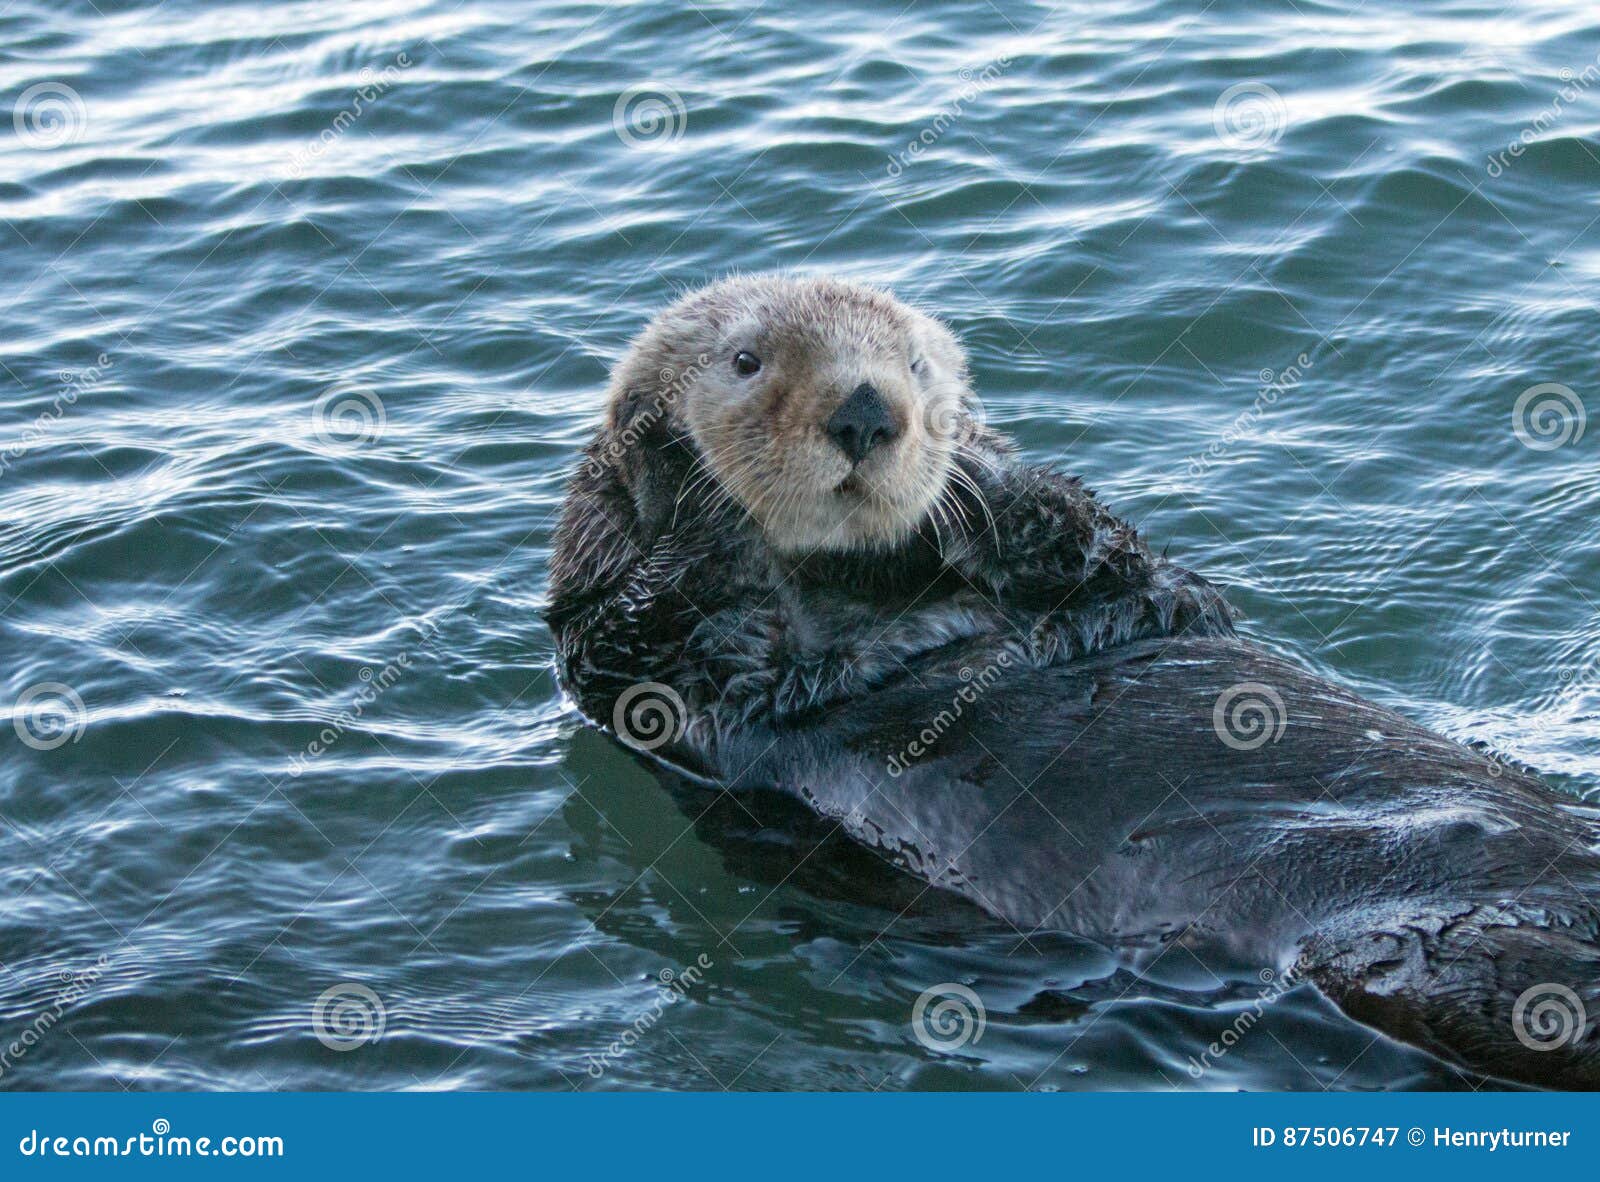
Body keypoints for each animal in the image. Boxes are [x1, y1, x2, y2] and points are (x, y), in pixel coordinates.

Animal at [550, 275, 1600, 1094]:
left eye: (916, 367)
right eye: (745, 362)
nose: (866, 412)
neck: (865, 588)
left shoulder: (1141, 594)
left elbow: (1125, 566)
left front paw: (983, 480)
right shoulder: (645, 669)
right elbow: (662, 624)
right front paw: (670, 463)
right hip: (1432, 965)